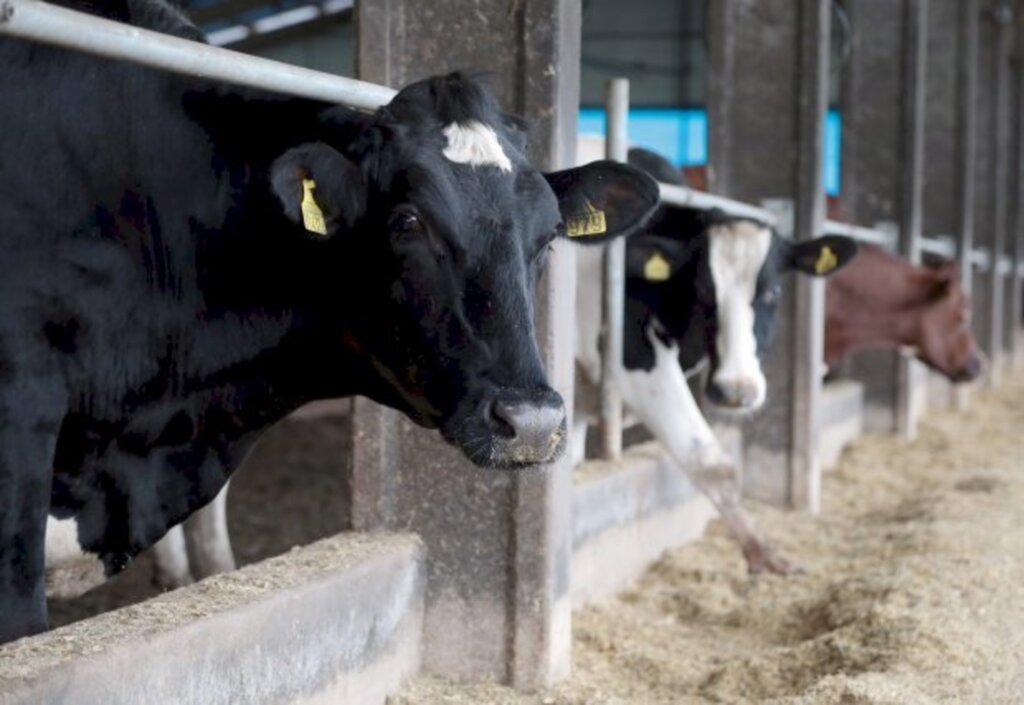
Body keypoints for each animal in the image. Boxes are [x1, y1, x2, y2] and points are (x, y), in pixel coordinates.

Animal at [577, 140, 856, 569]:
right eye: (703, 289)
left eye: (773, 291)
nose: (736, 392)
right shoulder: (631, 359)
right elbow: (713, 463)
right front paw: (762, 552)